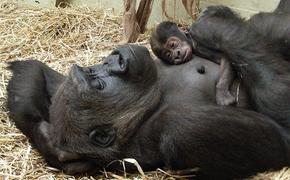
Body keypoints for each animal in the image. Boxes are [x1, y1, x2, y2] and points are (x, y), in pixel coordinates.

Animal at [6, 43, 290, 179]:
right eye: (99, 86)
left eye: (92, 71)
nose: (116, 60)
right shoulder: (171, 131)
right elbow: (280, 138)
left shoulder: (62, 85)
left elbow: (37, 70)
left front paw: (47, 140)